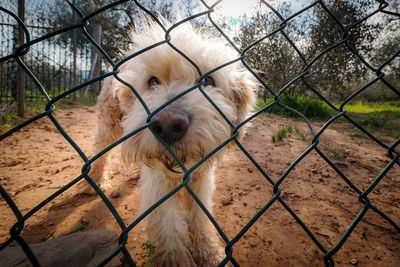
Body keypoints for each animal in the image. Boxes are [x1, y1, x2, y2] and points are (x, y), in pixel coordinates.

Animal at [85, 19, 256, 266]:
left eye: (208, 80)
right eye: (153, 82)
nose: (167, 125)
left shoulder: (202, 177)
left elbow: (200, 216)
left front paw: (209, 251)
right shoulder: (159, 184)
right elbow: (169, 226)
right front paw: (177, 257)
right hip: (110, 122)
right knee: (101, 149)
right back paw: (94, 180)